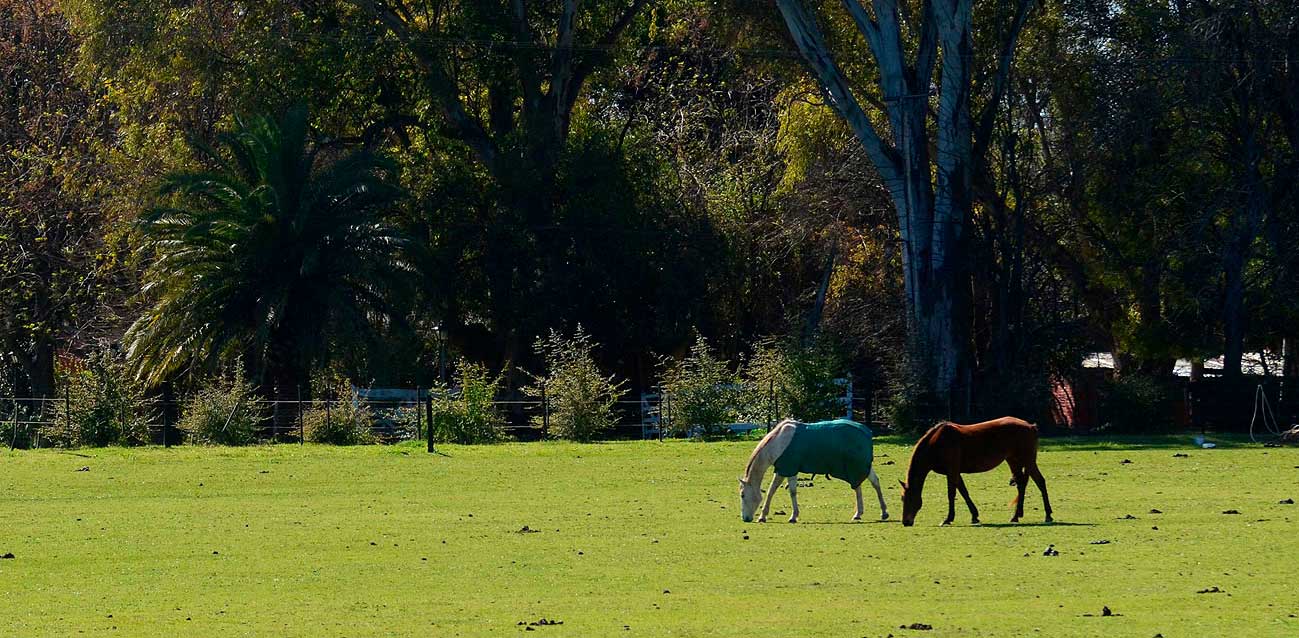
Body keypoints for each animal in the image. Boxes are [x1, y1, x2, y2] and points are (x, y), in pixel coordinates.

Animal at [739, 418, 888, 523]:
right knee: (867, 484)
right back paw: (867, 513)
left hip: (857, 466)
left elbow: (791, 492)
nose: (745, 518)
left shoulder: (790, 469)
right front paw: (763, 516)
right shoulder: (782, 470)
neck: (778, 442)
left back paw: (876, 512)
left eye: (742, 495)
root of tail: (866, 432)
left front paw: (793, 516)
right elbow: (772, 490)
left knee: (867, 484)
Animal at [899, 416, 1052, 527]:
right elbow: (963, 492)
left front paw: (948, 519)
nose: (906, 522)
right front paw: (974, 516)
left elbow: (951, 494)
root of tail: (1031, 426)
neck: (937, 443)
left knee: (1040, 482)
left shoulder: (952, 471)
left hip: (1028, 461)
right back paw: (1016, 516)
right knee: (1021, 484)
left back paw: (1048, 515)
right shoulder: (956, 472)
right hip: (1013, 461)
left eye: (906, 498)